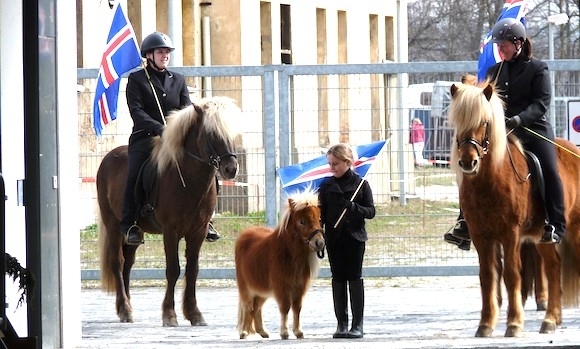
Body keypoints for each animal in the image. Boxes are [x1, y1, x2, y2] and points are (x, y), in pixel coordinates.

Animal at [97, 96, 240, 326]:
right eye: (211, 134)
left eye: (233, 133)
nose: (231, 169)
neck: (189, 181)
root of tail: (109, 156)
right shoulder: (170, 231)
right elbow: (173, 269)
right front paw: (170, 314)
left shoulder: (198, 231)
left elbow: (192, 270)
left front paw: (194, 313)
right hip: (112, 226)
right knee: (117, 263)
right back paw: (125, 309)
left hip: (134, 234)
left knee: (128, 263)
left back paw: (126, 308)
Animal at [234, 189, 326, 338]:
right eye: (301, 221)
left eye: (319, 219)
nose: (319, 243)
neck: (289, 253)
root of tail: (245, 234)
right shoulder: (281, 286)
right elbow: (285, 307)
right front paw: (284, 332)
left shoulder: (299, 286)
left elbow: (297, 307)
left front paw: (298, 332)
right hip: (246, 287)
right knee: (248, 306)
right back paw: (243, 331)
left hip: (262, 289)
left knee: (257, 307)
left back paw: (263, 332)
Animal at [450, 79, 580, 338]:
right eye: (458, 121)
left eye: (484, 122)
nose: (468, 162)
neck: (491, 180)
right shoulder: (481, 236)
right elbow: (487, 276)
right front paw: (485, 324)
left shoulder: (510, 234)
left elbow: (511, 275)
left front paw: (513, 324)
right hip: (542, 236)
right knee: (553, 267)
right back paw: (551, 320)